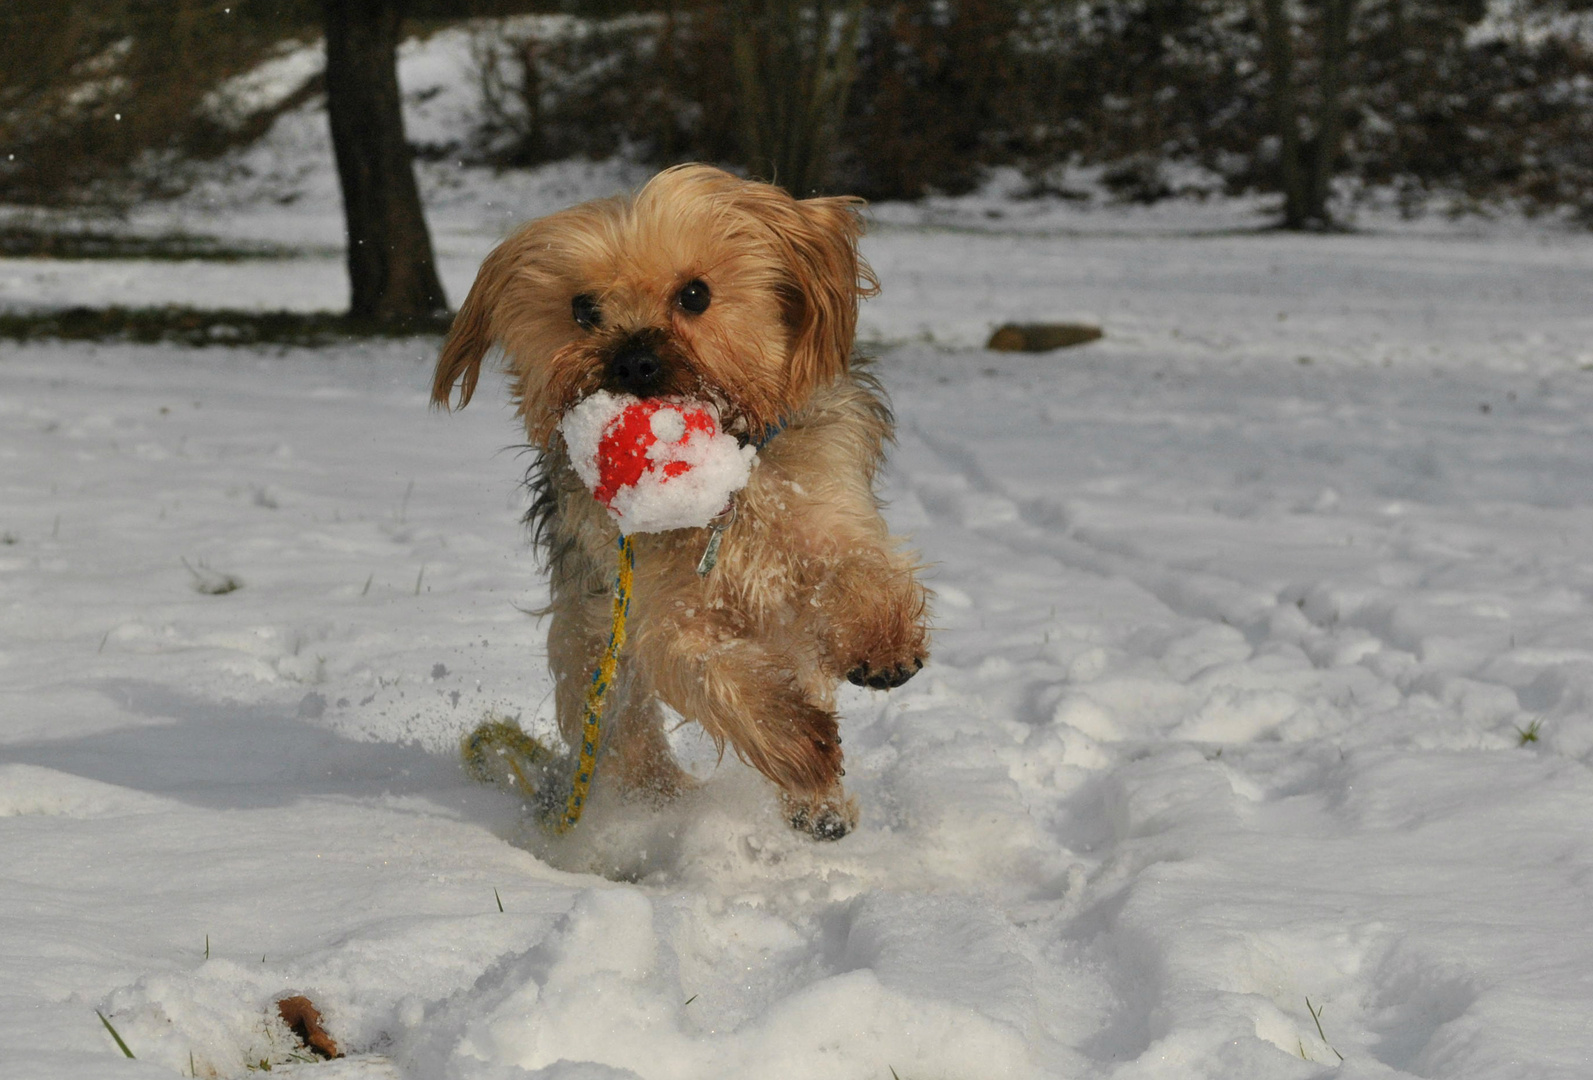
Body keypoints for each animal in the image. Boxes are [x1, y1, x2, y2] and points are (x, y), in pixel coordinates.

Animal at [436, 164, 930, 841]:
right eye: (582, 309)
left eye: (695, 294)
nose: (633, 361)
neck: (726, 485)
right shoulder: (661, 611)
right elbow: (709, 669)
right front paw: (796, 741)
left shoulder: (829, 522)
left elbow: (861, 571)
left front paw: (885, 646)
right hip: (589, 639)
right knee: (622, 724)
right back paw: (656, 800)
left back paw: (818, 807)